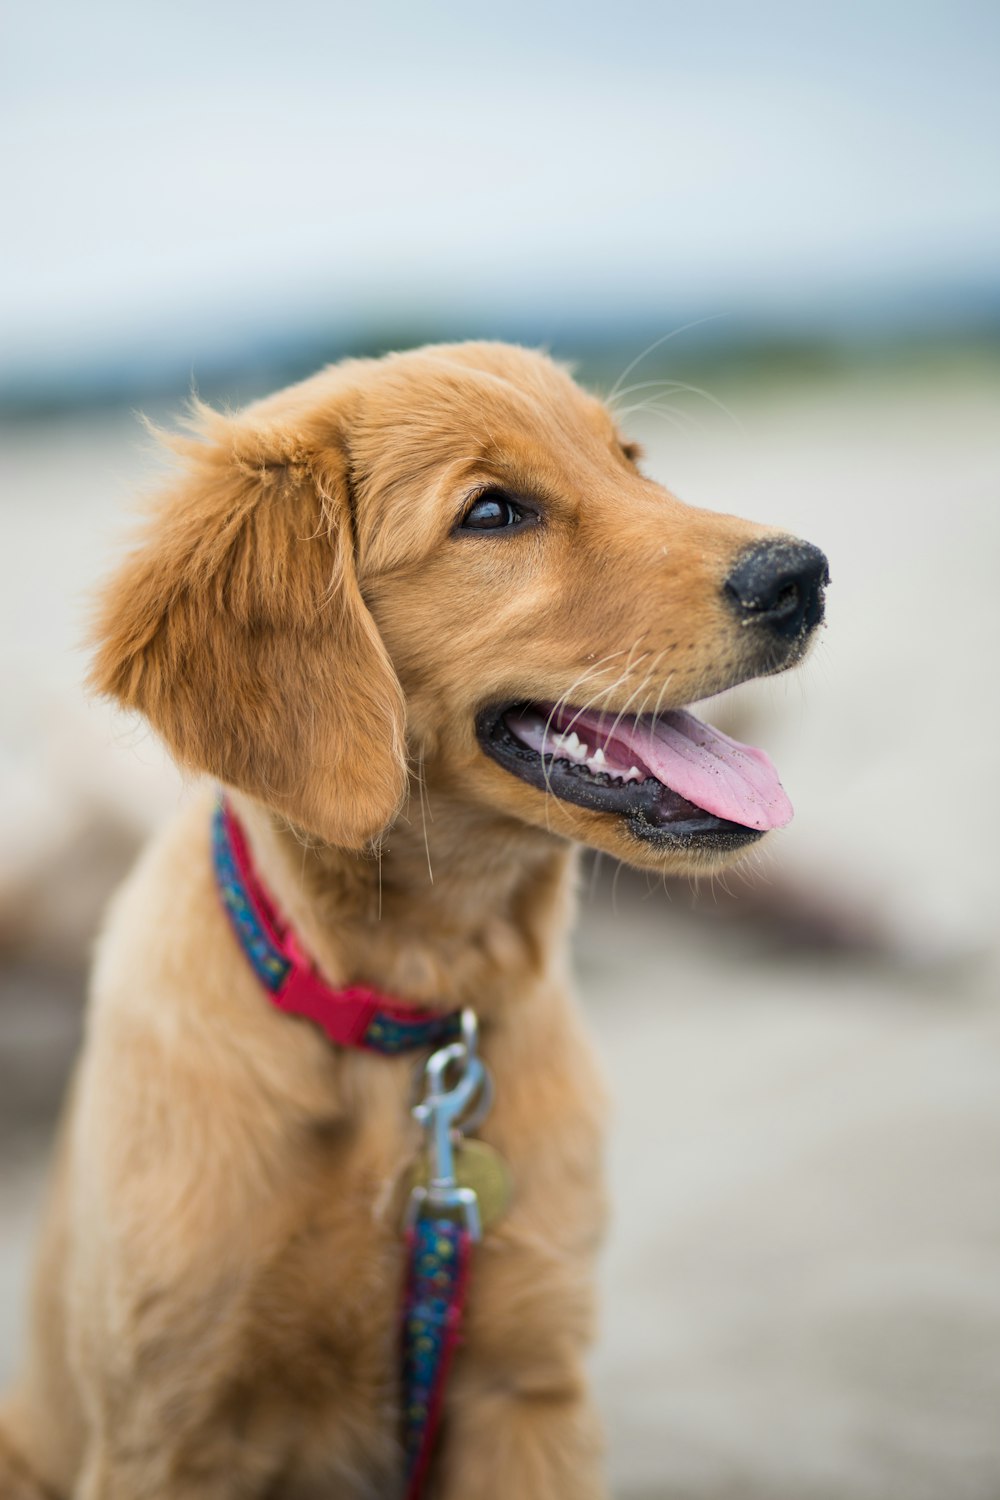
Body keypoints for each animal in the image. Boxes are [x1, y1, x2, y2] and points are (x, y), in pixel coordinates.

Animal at [0, 345, 827, 1494]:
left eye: (629, 461)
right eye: (491, 513)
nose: (804, 576)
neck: (407, 1014)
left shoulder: (529, 1392)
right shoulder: (164, 1437)